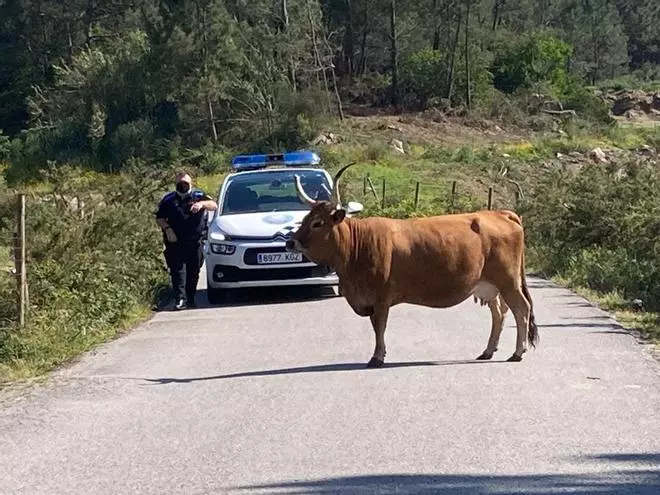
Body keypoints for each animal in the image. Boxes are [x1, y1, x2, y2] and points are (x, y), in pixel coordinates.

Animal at [285, 162, 539, 368]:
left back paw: (518, 352)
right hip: (490, 285)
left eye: (318, 223)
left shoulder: (381, 298)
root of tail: (501, 213)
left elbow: (379, 326)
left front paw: (377, 357)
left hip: (508, 281)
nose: (290, 241)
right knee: (500, 313)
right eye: (305, 219)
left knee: (521, 309)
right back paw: (488, 351)